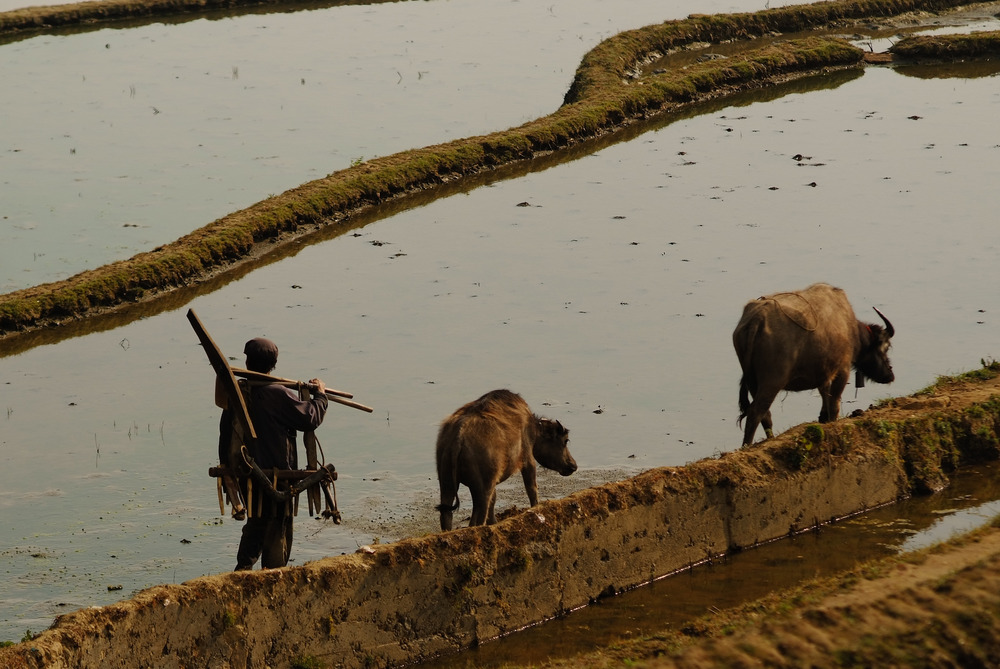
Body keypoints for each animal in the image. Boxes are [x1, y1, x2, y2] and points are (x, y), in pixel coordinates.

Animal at [434, 388, 576, 528]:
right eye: (565, 440)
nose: (573, 465)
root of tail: (459, 434)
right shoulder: (528, 460)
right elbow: (532, 489)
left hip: (447, 484)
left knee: (447, 515)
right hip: (482, 488)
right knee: (478, 518)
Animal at [732, 280, 896, 446]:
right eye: (885, 347)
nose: (890, 374)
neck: (849, 327)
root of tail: (756, 319)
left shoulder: (823, 375)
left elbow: (825, 398)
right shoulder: (842, 369)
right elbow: (834, 403)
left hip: (752, 382)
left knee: (765, 414)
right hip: (772, 382)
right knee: (756, 412)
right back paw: (748, 444)